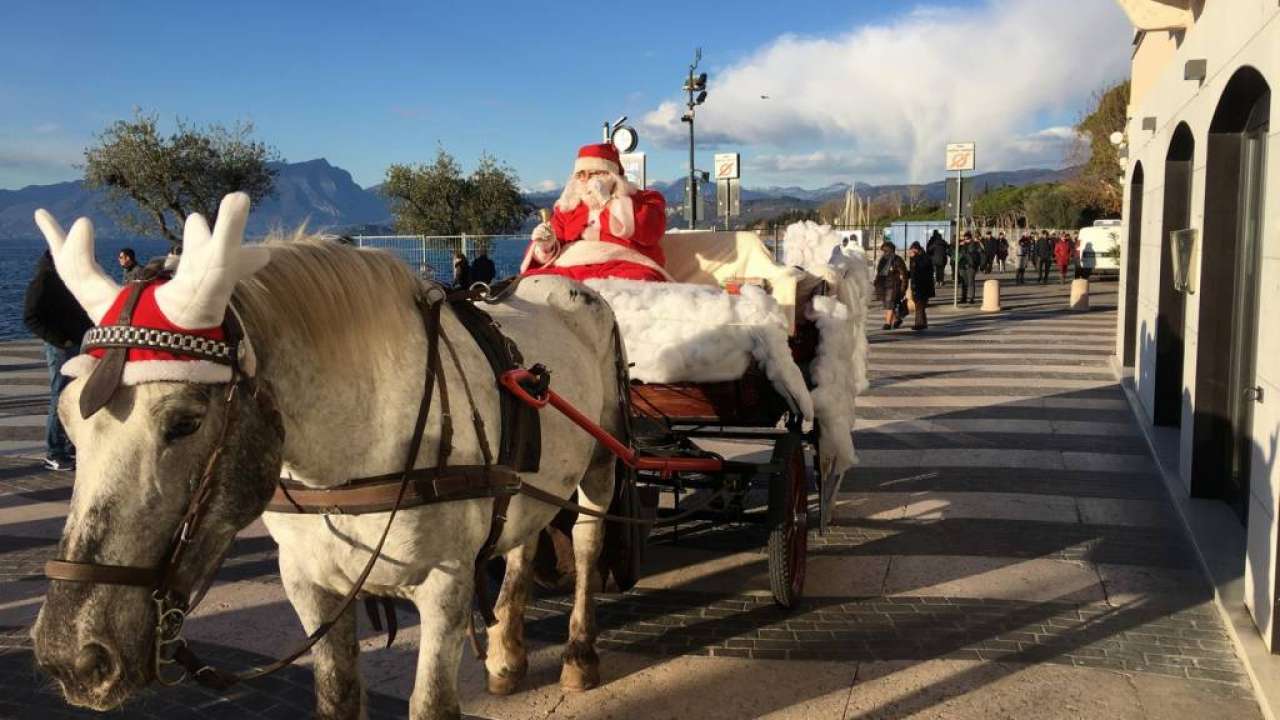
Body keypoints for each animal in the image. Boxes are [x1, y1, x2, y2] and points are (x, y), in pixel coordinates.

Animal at [30, 192, 619, 717]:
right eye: (67, 418)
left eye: (184, 422)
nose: (70, 655)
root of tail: (563, 283)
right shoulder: (309, 586)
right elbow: (337, 695)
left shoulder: (446, 586)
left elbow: (432, 704)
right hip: (530, 483)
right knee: (525, 539)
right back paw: (506, 656)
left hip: (603, 459)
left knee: (588, 541)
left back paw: (579, 654)